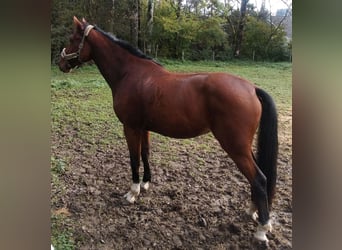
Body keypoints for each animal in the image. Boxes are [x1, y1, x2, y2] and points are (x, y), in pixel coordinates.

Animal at [58, 17, 278, 242]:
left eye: (73, 38)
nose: (61, 63)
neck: (130, 73)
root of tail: (252, 88)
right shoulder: (143, 128)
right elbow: (145, 154)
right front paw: (145, 184)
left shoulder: (130, 127)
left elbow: (134, 158)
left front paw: (132, 193)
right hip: (243, 147)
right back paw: (253, 211)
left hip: (235, 147)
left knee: (259, 179)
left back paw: (261, 229)